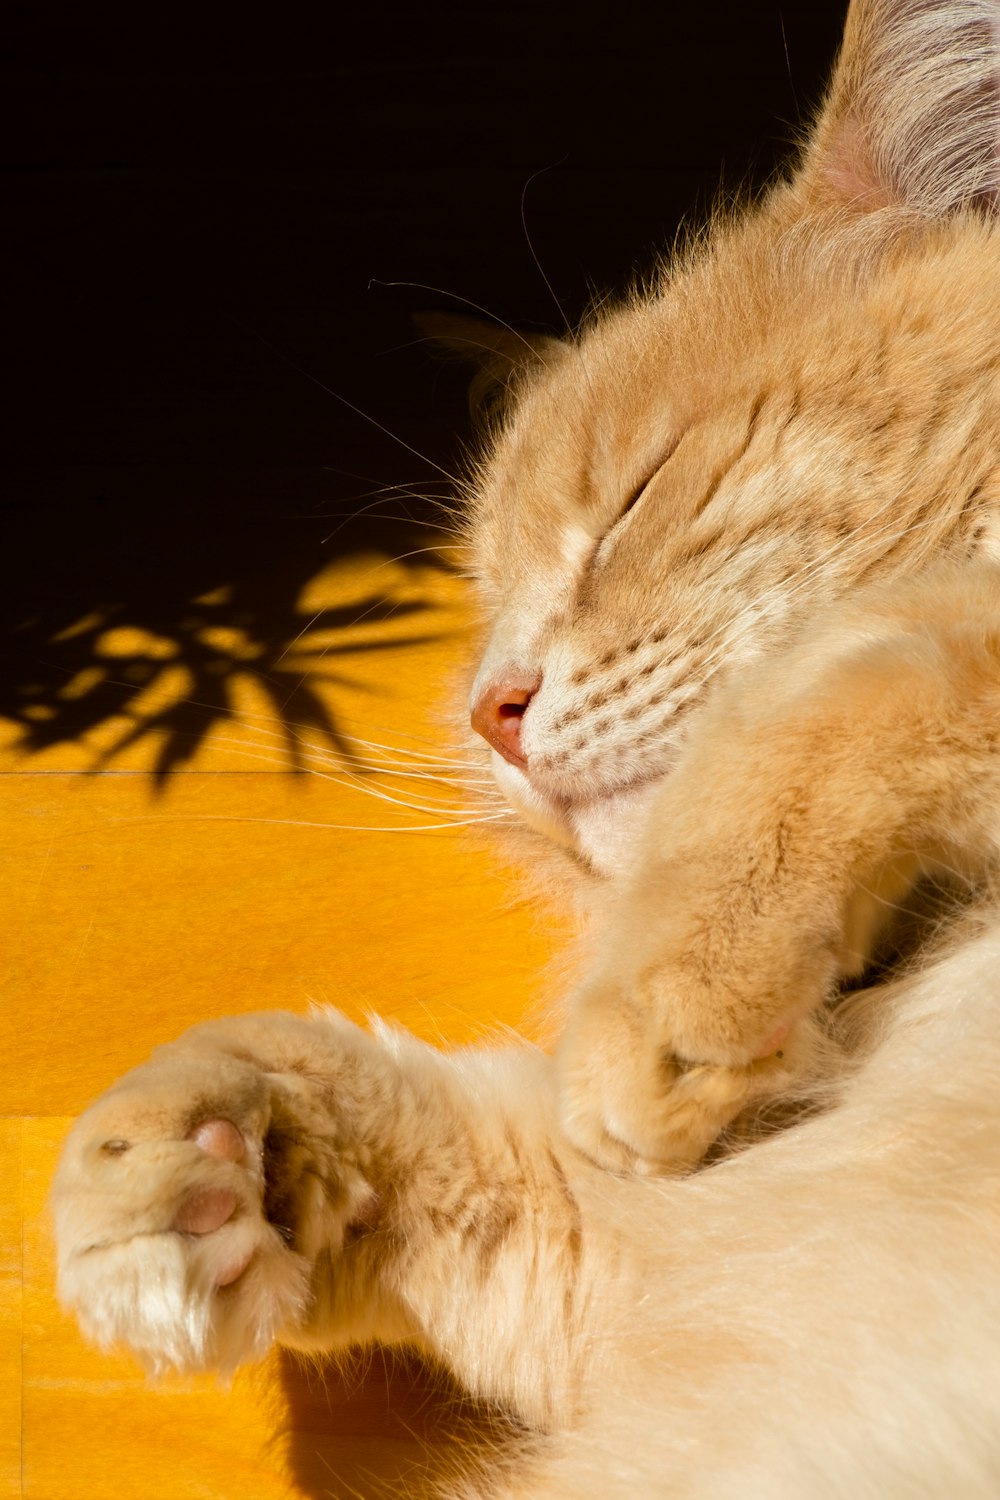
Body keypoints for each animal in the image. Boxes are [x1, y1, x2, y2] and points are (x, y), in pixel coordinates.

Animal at [52, 0, 1000, 1494]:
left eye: (633, 499)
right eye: (486, 593)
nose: (491, 712)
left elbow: (885, 651)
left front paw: (663, 994)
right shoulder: (640, 1264)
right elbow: (448, 1132)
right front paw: (181, 1160)